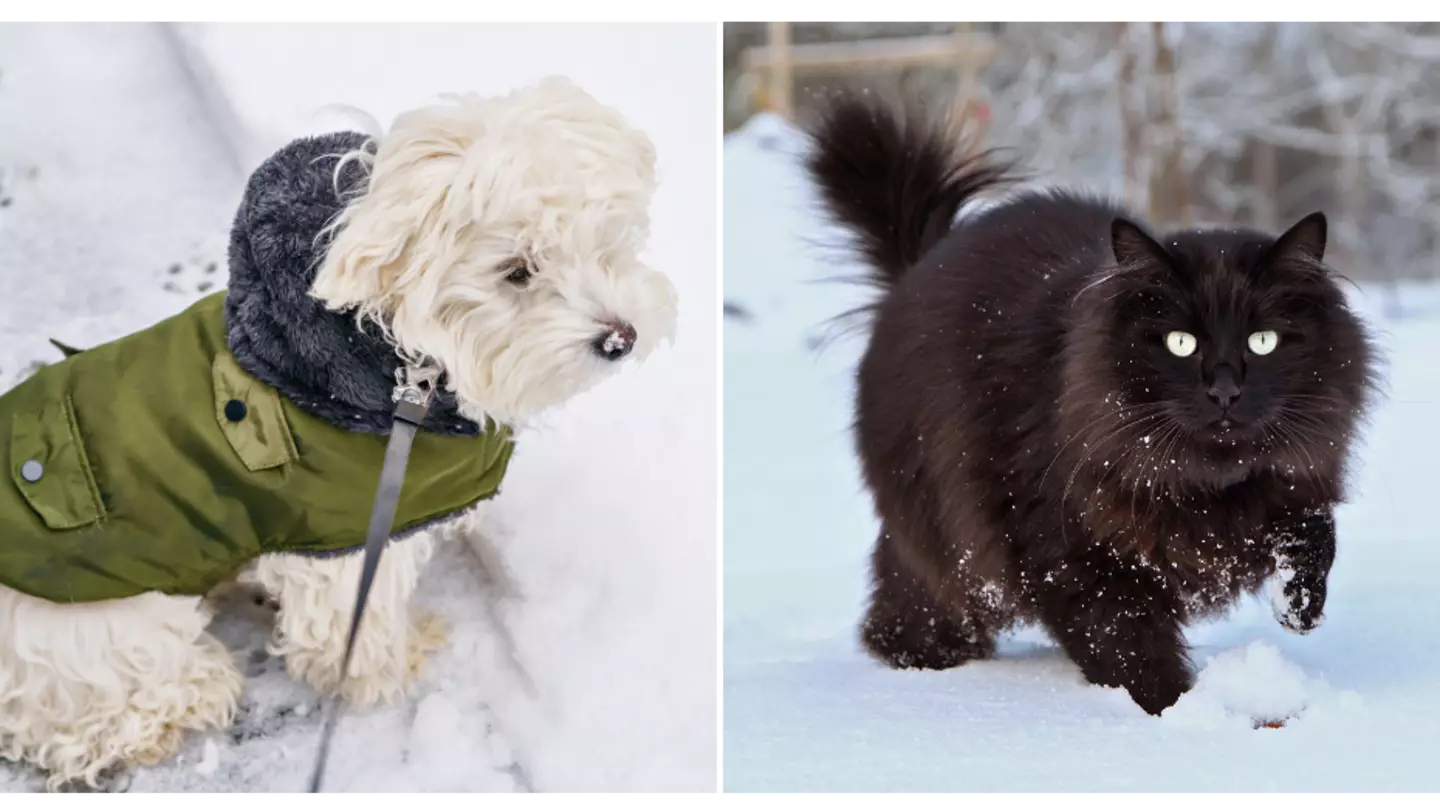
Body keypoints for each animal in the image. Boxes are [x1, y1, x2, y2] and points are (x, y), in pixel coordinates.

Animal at [1, 77, 673, 789]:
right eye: (517, 271)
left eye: (605, 245)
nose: (620, 338)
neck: (393, 363)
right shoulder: (345, 545)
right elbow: (351, 625)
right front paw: (390, 664)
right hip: (102, 635)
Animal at [806, 94, 1376, 711]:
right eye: (1180, 342)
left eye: (1262, 341)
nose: (1224, 389)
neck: (1202, 486)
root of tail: (919, 264)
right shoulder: (1075, 555)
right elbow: (1128, 648)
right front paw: (1180, 710)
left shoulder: (1295, 480)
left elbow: (1314, 535)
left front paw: (1299, 607)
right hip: (944, 536)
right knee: (916, 597)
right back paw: (923, 662)